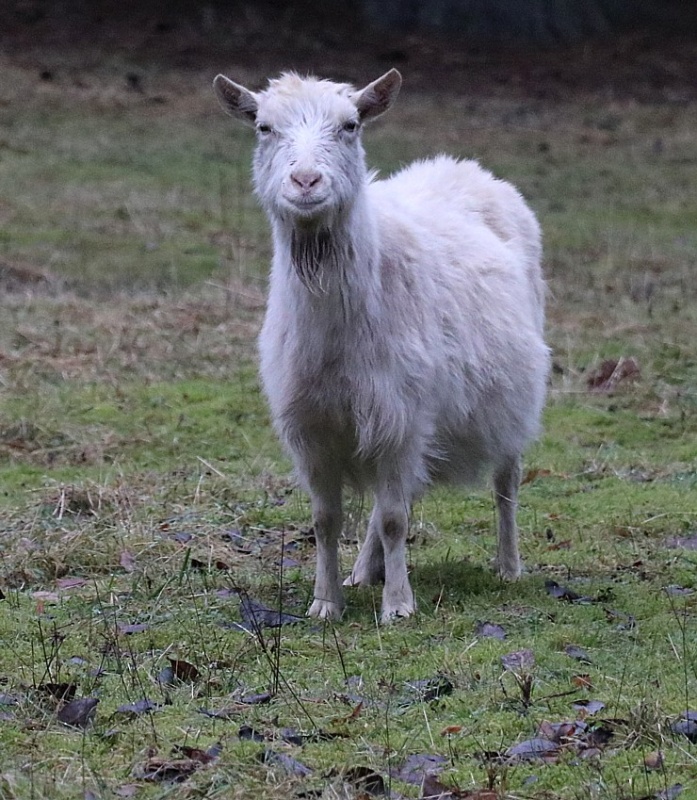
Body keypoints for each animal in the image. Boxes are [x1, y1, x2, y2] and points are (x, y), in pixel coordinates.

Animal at [212, 70, 548, 624]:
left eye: (350, 125)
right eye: (264, 127)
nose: (306, 182)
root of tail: (461, 165)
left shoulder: (400, 416)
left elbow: (394, 518)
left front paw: (398, 606)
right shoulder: (313, 425)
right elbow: (326, 519)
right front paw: (326, 601)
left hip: (510, 402)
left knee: (506, 483)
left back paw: (509, 565)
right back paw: (363, 571)